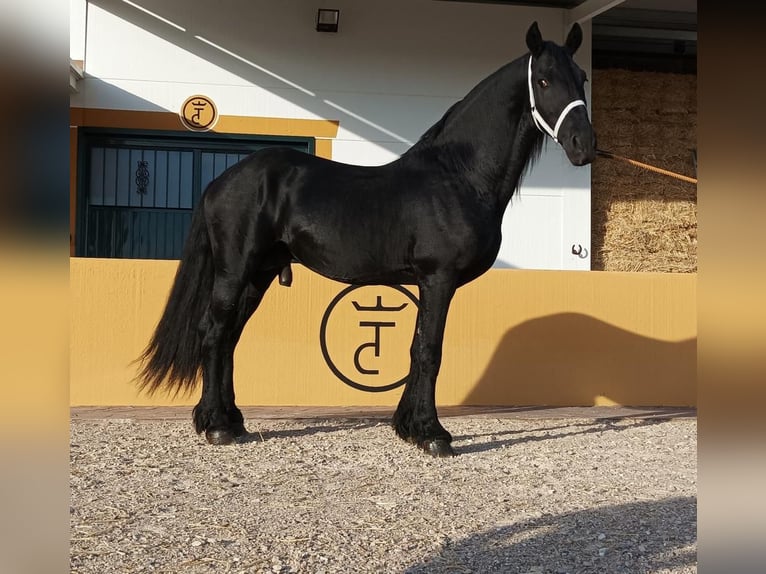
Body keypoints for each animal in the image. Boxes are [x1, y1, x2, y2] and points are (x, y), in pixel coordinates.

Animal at [137, 22, 596, 457]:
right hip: (235, 271)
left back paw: (232, 420)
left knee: (230, 336)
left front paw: (408, 427)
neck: (458, 176)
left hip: (259, 273)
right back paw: (216, 426)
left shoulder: (426, 282)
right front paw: (433, 434)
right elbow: (429, 351)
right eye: (544, 81)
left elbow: (416, 348)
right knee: (214, 332)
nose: (584, 145)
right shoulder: (438, 278)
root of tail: (222, 180)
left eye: (582, 77)